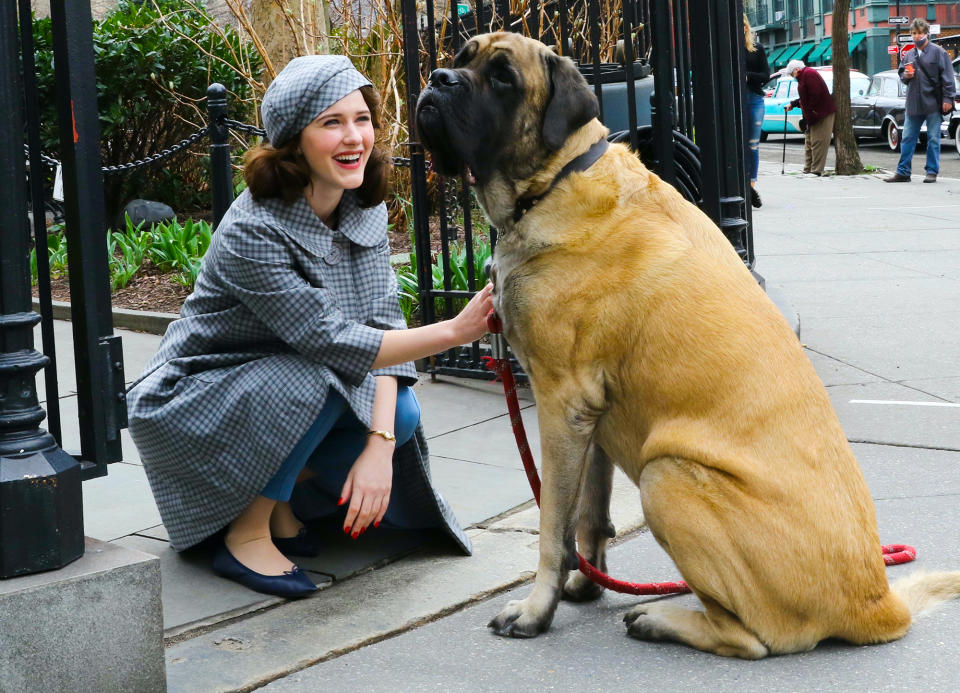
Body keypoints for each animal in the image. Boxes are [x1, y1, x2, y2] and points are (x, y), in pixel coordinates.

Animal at [414, 33, 960, 660]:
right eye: (462, 55)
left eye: (503, 78)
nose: (438, 78)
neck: (555, 180)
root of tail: (878, 603)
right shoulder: (591, 413)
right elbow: (589, 515)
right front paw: (585, 585)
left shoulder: (560, 403)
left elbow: (553, 524)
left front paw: (535, 611)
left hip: (666, 476)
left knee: (752, 638)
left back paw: (661, 617)